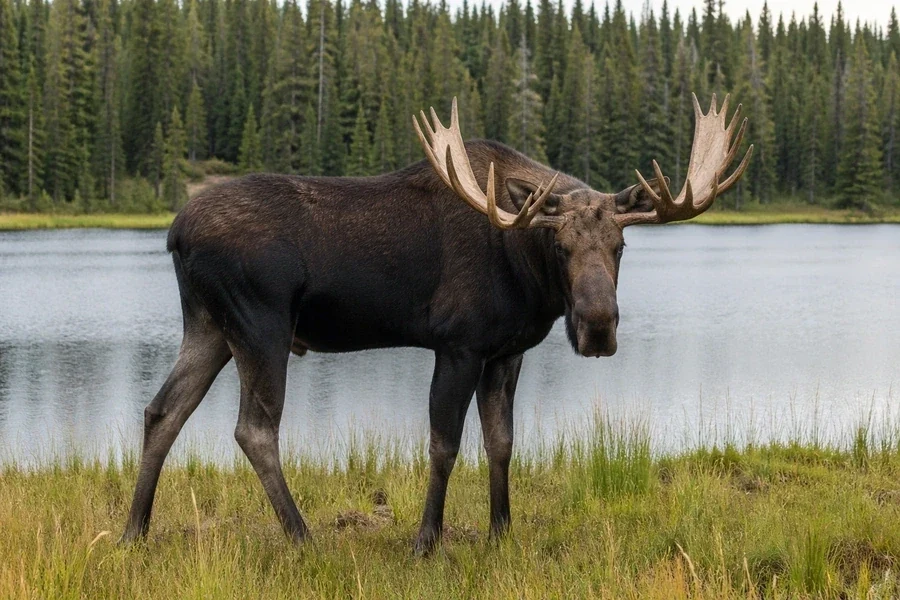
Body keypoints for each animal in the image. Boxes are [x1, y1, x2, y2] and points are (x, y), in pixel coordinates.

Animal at [121, 93, 751, 555]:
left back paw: (134, 531)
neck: (523, 268)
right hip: (261, 327)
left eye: (620, 246)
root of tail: (174, 232)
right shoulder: (457, 344)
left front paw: (501, 530)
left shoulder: (507, 351)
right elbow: (444, 444)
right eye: (561, 244)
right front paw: (426, 539)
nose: (597, 327)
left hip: (209, 326)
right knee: (253, 429)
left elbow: (502, 442)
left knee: (163, 411)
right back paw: (301, 537)